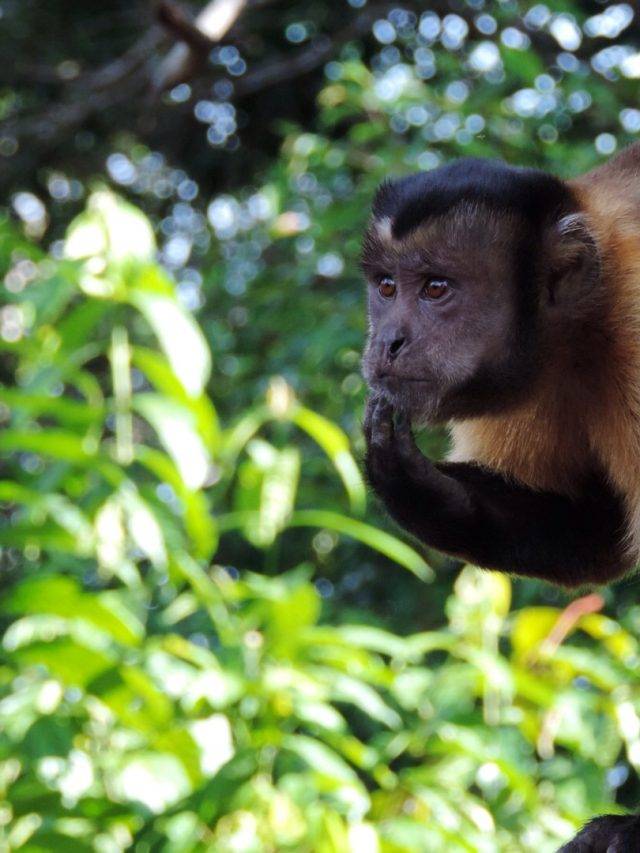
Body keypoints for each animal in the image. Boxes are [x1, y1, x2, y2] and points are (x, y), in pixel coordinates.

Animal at [361, 146, 640, 851]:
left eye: (436, 289)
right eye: (386, 288)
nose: (386, 341)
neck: (588, 315)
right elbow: (598, 532)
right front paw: (416, 484)